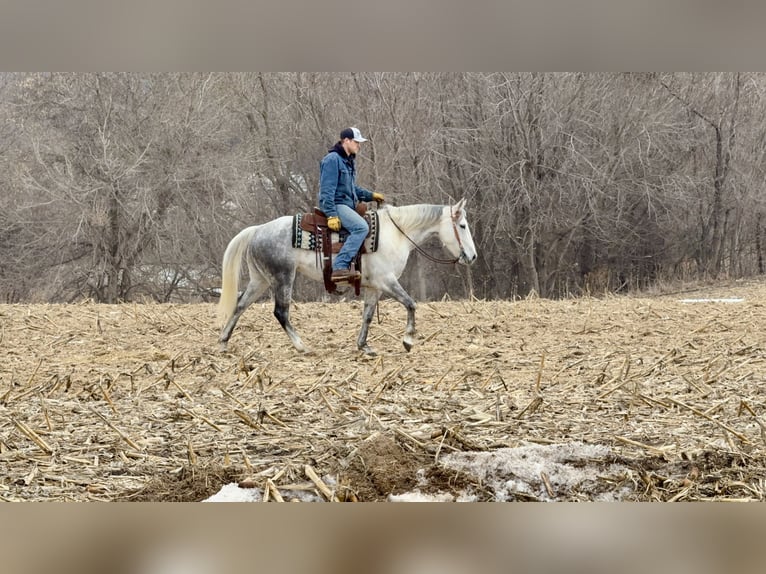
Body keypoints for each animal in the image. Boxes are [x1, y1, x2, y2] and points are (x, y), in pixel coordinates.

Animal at [217, 198, 477, 356]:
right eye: (462, 226)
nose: (473, 256)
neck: (396, 233)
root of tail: (257, 230)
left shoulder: (374, 287)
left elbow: (368, 316)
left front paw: (364, 346)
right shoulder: (387, 281)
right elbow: (411, 304)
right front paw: (408, 340)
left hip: (260, 280)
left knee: (240, 305)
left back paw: (223, 342)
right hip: (283, 278)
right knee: (281, 312)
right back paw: (302, 346)